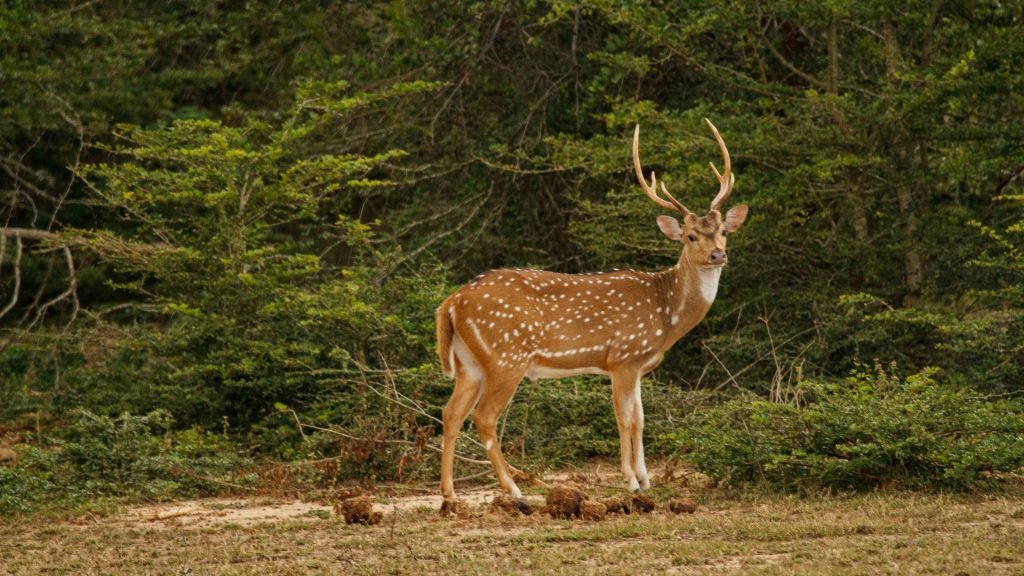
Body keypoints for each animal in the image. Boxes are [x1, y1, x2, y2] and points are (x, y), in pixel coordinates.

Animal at [435, 119, 748, 512]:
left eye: (722, 231)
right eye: (691, 236)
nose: (718, 255)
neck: (666, 314)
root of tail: (450, 304)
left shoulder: (639, 365)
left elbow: (641, 418)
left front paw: (646, 479)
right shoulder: (623, 357)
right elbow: (625, 418)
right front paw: (632, 483)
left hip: (469, 362)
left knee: (450, 412)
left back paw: (449, 495)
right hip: (507, 356)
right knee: (484, 416)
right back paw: (517, 493)